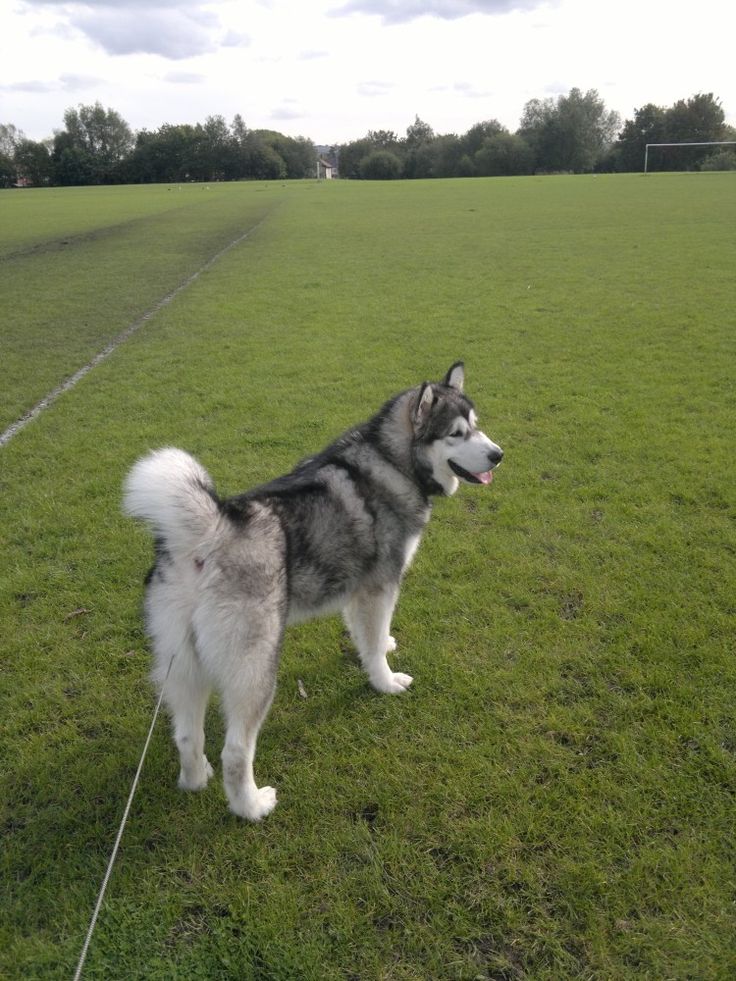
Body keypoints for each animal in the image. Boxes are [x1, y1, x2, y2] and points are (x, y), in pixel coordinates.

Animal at [123, 362, 504, 820]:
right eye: (456, 434)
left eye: (477, 427)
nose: (499, 454)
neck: (391, 463)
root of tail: (213, 528)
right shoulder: (380, 586)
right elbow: (374, 641)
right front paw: (385, 682)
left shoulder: (359, 591)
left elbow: (368, 636)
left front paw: (382, 646)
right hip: (256, 667)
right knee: (236, 751)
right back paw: (252, 806)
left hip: (183, 666)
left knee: (186, 734)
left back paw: (196, 779)